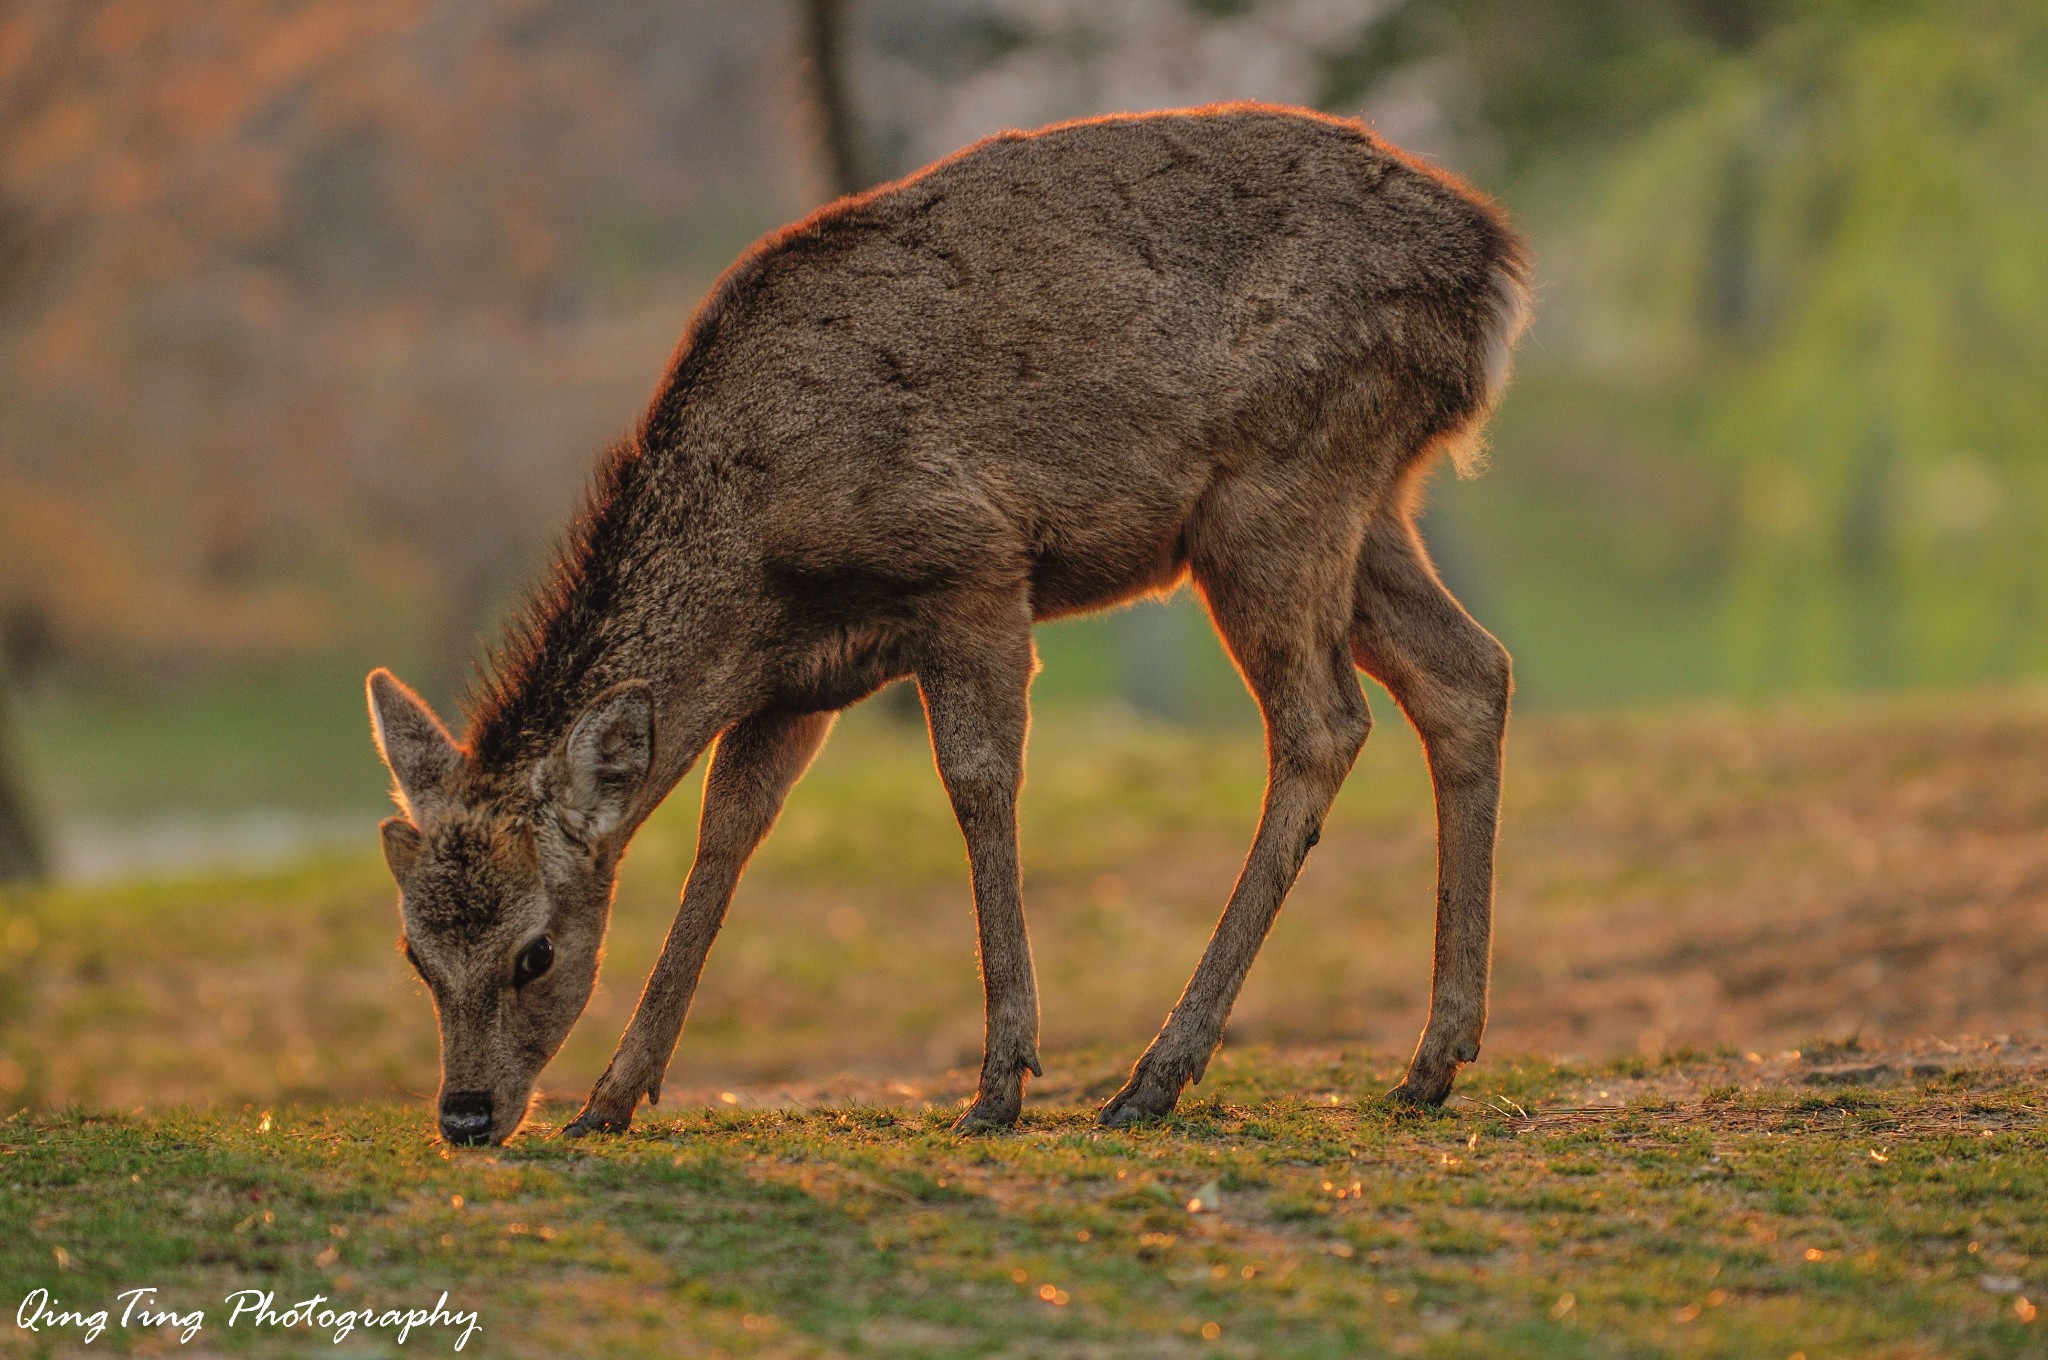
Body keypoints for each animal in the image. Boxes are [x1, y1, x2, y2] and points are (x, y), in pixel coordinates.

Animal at [368, 103, 1523, 1146]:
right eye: (415, 952)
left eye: (534, 951)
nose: (466, 1114)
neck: (755, 563)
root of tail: (1496, 267)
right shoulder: (798, 682)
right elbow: (728, 831)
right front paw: (613, 1095)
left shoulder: (970, 564)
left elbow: (977, 783)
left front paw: (1002, 1079)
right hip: (1365, 506)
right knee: (1468, 673)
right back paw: (1432, 1059)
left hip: (1276, 487)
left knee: (1324, 724)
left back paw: (1156, 1074)